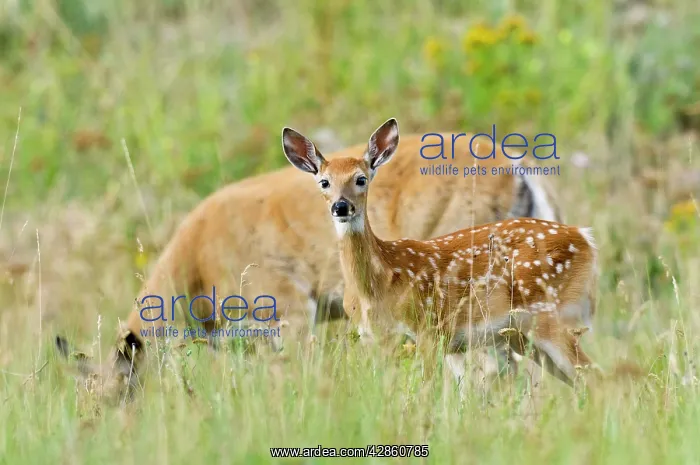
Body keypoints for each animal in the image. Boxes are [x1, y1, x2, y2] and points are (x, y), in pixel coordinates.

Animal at [281, 118, 599, 388]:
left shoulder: (428, 331)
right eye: (324, 182)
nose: (341, 206)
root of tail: (586, 238)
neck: (378, 282)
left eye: (361, 179)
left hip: (553, 316)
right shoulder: (373, 337)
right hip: (521, 335)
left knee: (597, 378)